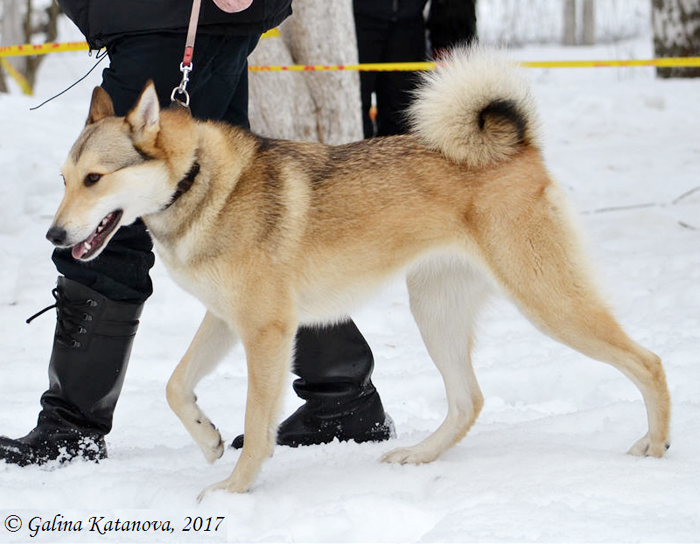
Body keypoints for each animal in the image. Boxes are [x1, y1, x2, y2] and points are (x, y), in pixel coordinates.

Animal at [47, 47, 670, 499]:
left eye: (96, 179)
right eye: (64, 179)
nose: (54, 237)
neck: (197, 182)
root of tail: (518, 146)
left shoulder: (266, 331)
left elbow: (257, 422)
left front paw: (234, 489)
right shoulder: (226, 320)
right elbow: (176, 386)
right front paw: (208, 442)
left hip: (547, 301)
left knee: (649, 361)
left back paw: (657, 446)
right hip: (434, 310)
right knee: (468, 400)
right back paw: (419, 455)